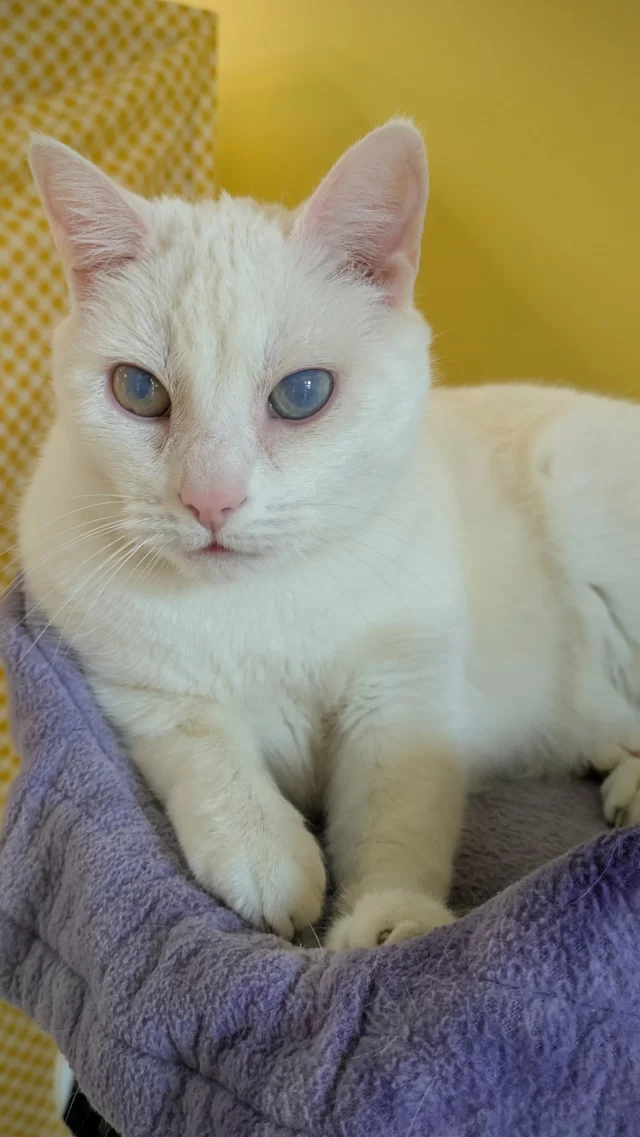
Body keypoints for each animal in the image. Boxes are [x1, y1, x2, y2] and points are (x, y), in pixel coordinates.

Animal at [17, 122, 640, 950]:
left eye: (303, 393)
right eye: (139, 390)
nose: (209, 499)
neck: (259, 606)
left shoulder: (401, 693)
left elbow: (394, 814)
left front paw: (393, 922)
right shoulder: (132, 685)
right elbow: (205, 750)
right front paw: (267, 858)